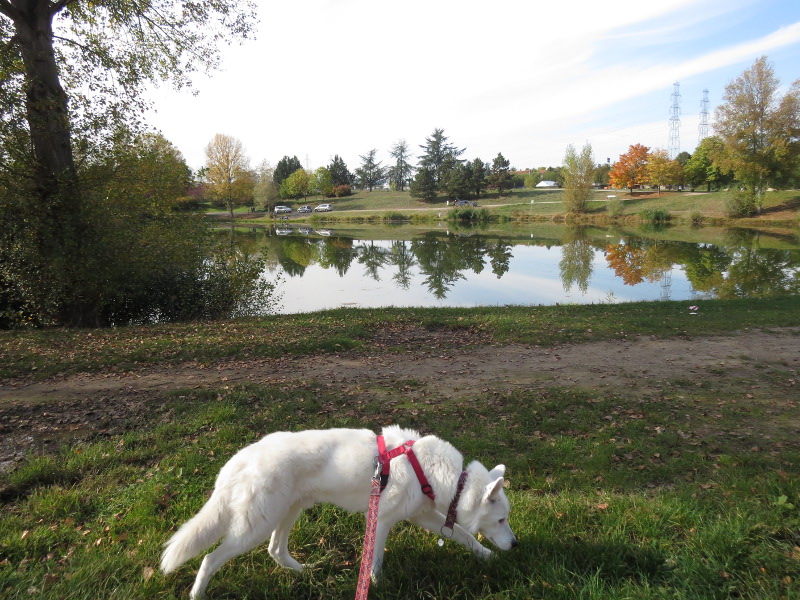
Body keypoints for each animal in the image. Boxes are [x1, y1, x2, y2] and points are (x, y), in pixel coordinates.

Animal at [161, 424, 520, 596]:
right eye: (501, 519)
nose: (516, 545)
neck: (437, 472)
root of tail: (241, 458)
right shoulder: (382, 520)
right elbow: (375, 560)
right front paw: (376, 585)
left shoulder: (424, 515)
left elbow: (463, 535)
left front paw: (487, 556)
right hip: (256, 526)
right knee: (210, 559)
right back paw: (197, 594)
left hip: (287, 513)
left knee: (276, 550)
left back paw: (305, 572)